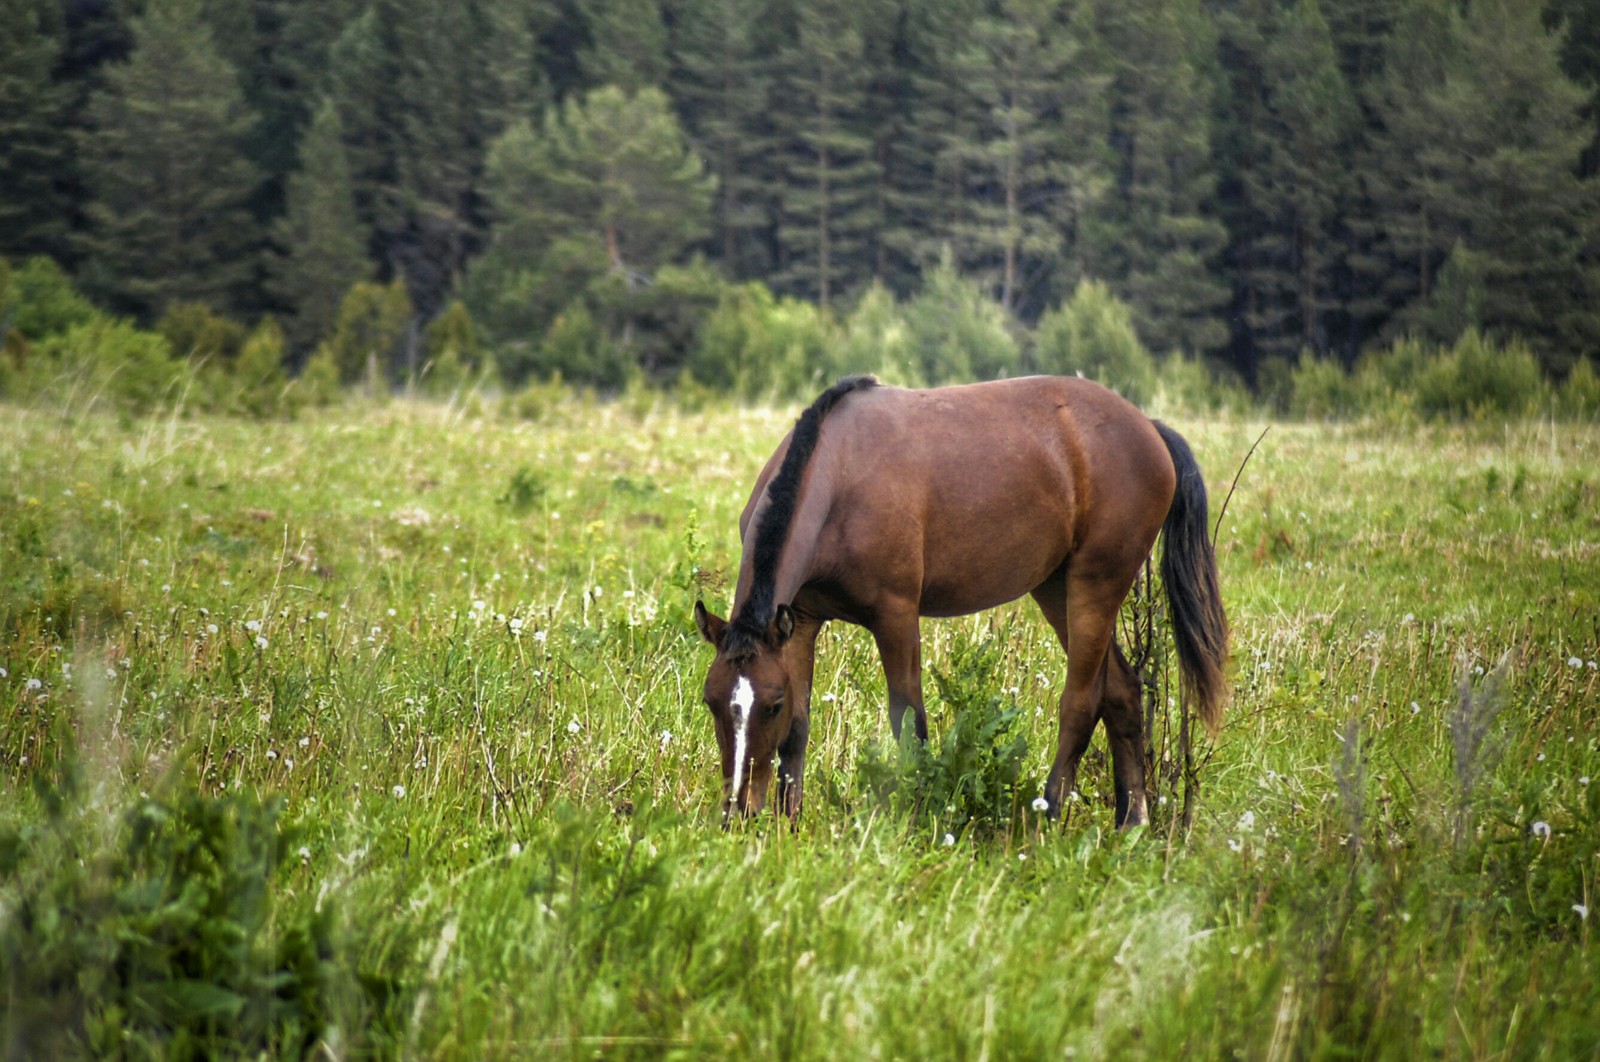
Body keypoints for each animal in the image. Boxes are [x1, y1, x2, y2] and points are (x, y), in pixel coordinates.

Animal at [694, 375, 1228, 831]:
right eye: (712, 701)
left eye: (770, 705)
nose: (737, 810)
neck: (840, 472)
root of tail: (1150, 429)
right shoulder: (801, 621)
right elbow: (800, 730)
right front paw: (790, 825)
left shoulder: (896, 617)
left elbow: (909, 723)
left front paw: (914, 819)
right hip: (1056, 588)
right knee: (1122, 691)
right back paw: (1132, 821)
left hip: (1095, 585)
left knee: (1079, 703)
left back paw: (1049, 815)